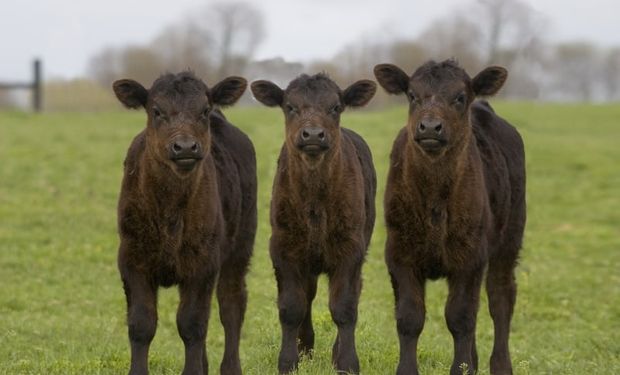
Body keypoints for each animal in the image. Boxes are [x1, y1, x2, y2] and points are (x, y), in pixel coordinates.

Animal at [112, 71, 256, 375]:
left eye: (203, 110)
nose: (186, 147)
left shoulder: (203, 263)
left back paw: (230, 367)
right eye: (156, 110)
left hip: (240, 246)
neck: (170, 210)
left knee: (231, 304)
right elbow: (141, 324)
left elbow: (191, 324)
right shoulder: (131, 259)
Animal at [249, 74, 376, 375]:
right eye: (290, 106)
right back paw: (305, 347)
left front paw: (347, 363)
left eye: (336, 107)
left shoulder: (350, 249)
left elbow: (344, 307)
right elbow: (291, 307)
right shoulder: (283, 248)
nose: (314, 134)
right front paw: (288, 361)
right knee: (307, 296)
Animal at [376, 59, 524, 375]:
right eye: (412, 95)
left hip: (509, 239)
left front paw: (461, 368)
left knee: (500, 298)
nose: (430, 126)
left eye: (459, 97)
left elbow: (460, 317)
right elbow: (410, 317)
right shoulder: (399, 254)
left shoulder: (470, 256)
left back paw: (500, 365)